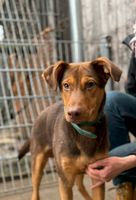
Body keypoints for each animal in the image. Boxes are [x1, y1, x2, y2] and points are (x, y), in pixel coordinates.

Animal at [18, 57, 122, 199]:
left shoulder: (98, 174)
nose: (73, 113)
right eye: (66, 85)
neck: (83, 129)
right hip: (37, 160)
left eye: (90, 84)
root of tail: (41, 113)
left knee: (79, 185)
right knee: (35, 190)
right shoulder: (65, 181)